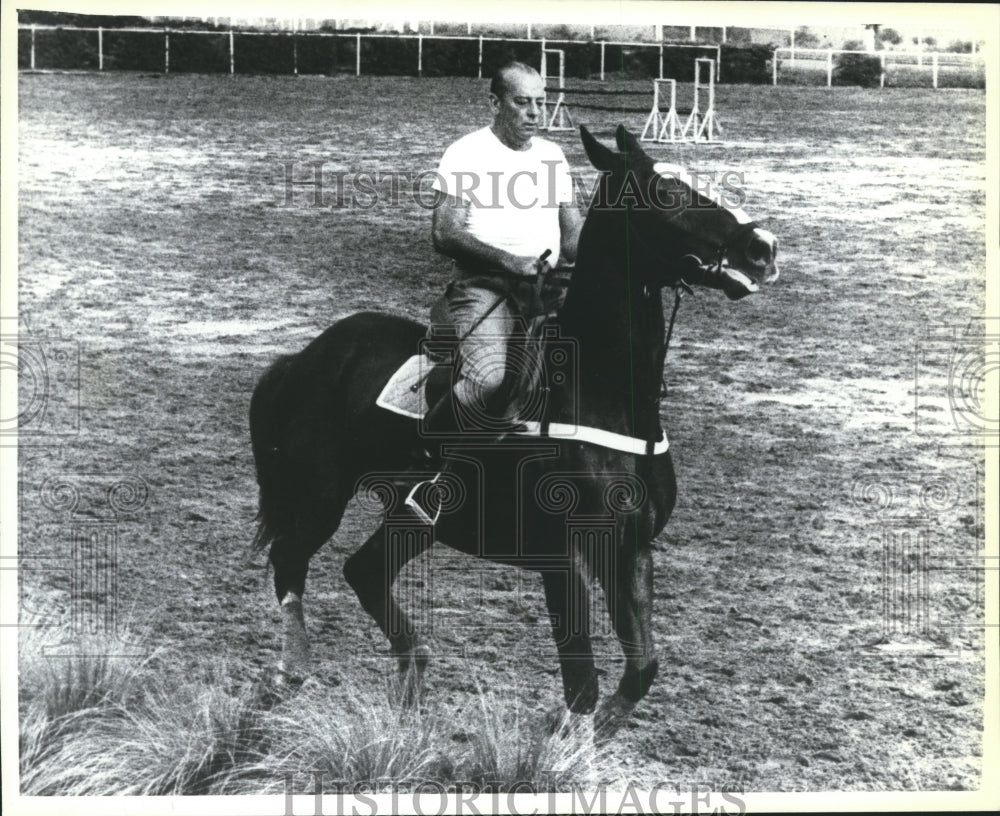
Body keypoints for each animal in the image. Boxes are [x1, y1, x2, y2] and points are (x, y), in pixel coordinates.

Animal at [250, 124, 780, 736]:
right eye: (667, 193)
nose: (763, 247)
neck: (602, 395)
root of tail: (304, 358)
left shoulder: (631, 548)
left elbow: (640, 668)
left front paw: (594, 734)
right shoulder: (563, 559)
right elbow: (582, 683)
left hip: (413, 519)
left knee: (363, 572)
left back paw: (409, 688)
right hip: (319, 495)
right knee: (291, 562)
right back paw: (293, 672)